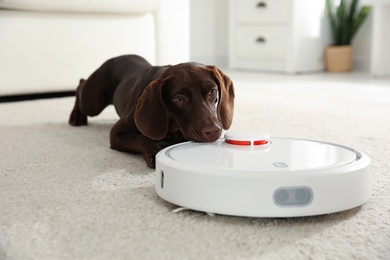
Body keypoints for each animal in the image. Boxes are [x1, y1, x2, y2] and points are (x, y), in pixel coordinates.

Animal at [69, 55, 235, 168]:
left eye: (212, 91)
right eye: (179, 98)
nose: (213, 131)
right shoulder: (117, 134)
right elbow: (143, 139)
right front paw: (154, 151)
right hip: (92, 103)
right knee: (81, 84)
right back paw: (76, 116)